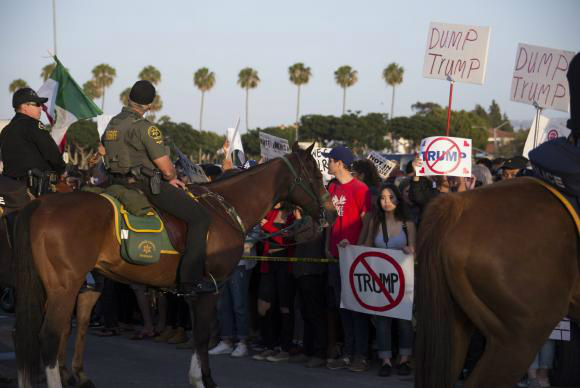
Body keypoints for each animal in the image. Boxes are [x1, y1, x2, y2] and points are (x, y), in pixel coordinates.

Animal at [12, 144, 336, 388]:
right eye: (315, 175)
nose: (332, 213)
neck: (225, 207)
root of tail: (40, 205)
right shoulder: (210, 288)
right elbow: (202, 336)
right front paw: (203, 380)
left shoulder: (197, 291)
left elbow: (200, 335)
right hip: (64, 287)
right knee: (50, 336)